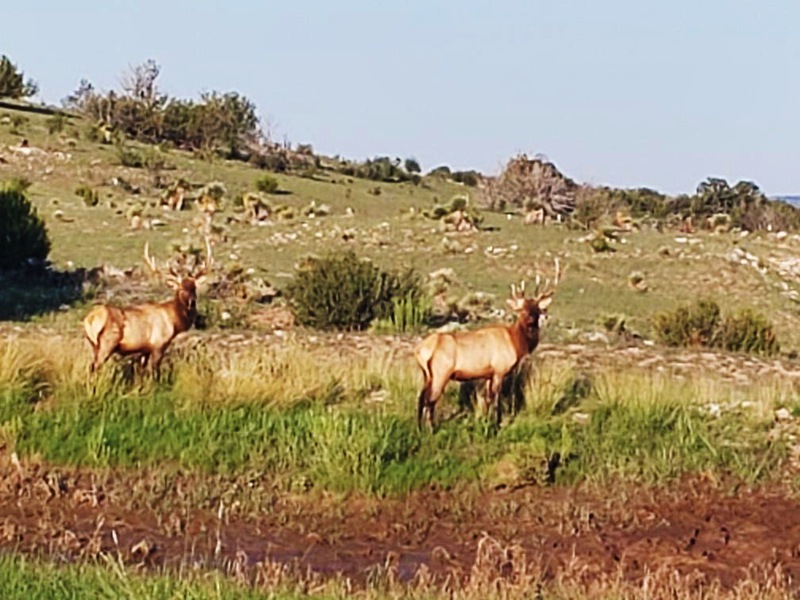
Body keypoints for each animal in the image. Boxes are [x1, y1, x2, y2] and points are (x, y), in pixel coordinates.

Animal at [83, 239, 212, 376]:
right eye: (181, 289)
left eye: (194, 288)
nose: (192, 302)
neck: (174, 322)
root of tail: (90, 319)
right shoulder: (159, 344)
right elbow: (155, 372)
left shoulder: (145, 349)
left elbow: (141, 373)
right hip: (107, 343)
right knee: (95, 368)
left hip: (92, 344)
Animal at [412, 260, 564, 428]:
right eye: (522, 309)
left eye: (536, 308)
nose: (531, 319)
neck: (516, 343)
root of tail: (420, 350)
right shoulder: (499, 369)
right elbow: (495, 400)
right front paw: (495, 425)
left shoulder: (488, 374)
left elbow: (486, 401)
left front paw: (484, 421)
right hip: (441, 372)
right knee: (430, 400)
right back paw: (431, 428)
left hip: (427, 374)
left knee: (421, 398)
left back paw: (419, 427)